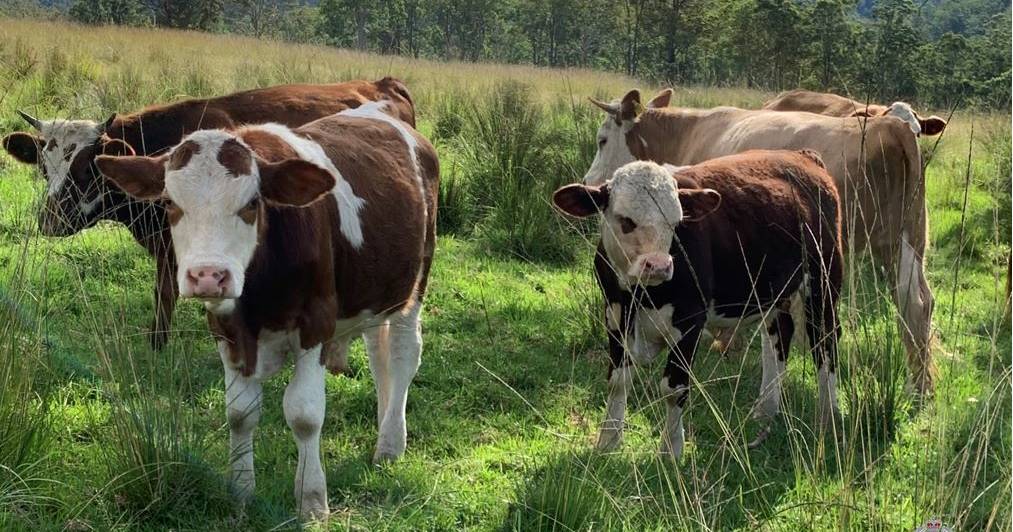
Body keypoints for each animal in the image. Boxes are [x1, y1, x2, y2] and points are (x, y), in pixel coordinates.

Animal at [95, 99, 439, 518]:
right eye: (169, 203)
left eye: (252, 203)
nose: (208, 275)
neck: (258, 292)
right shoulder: (226, 328)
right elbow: (239, 413)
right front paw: (240, 490)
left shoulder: (316, 323)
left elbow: (304, 414)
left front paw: (312, 498)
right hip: (375, 294)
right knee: (379, 355)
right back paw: (385, 424)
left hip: (414, 285)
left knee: (405, 354)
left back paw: (390, 444)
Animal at [551, 149, 842, 456]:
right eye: (626, 220)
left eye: (676, 222)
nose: (658, 266)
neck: (642, 294)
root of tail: (802, 156)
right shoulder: (616, 316)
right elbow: (618, 381)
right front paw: (608, 441)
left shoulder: (690, 322)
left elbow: (674, 388)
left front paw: (671, 449)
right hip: (776, 292)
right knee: (778, 340)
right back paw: (765, 410)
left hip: (823, 283)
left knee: (825, 341)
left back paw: (828, 414)